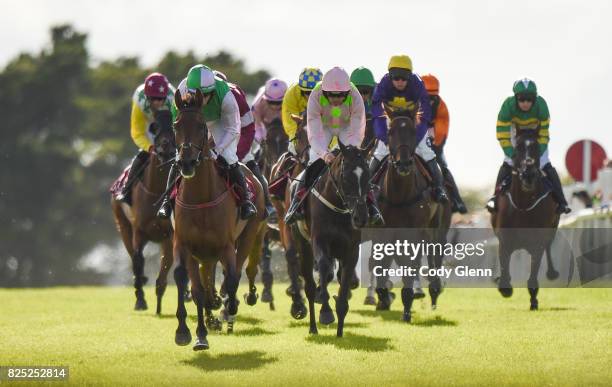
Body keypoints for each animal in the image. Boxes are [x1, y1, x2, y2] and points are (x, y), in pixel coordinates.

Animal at [110, 110, 175, 316]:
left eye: (174, 124)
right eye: (155, 126)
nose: (166, 148)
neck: (157, 190)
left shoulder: (169, 235)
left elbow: (166, 265)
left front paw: (159, 300)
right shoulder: (139, 232)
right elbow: (138, 260)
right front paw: (140, 300)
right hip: (122, 226)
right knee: (133, 257)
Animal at [173, 90, 266, 352]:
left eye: (202, 126)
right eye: (176, 125)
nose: (186, 162)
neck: (201, 198)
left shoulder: (226, 245)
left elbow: (232, 278)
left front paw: (229, 307)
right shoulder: (184, 244)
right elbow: (191, 286)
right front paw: (191, 333)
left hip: (248, 234)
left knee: (238, 269)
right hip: (205, 253)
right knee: (205, 280)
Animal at [294, 142, 370, 336]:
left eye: (367, 176)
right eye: (346, 177)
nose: (361, 217)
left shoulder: (351, 250)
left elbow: (343, 286)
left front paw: (340, 332)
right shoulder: (319, 241)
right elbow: (323, 267)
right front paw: (326, 312)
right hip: (303, 246)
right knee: (310, 286)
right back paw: (313, 326)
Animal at [372, 116, 450, 324]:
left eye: (414, 133)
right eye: (390, 132)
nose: (404, 164)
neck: (399, 194)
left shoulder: (414, 231)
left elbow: (411, 264)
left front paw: (407, 305)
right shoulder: (382, 231)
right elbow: (380, 264)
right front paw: (384, 296)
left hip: (436, 227)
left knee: (433, 255)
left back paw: (432, 290)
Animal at [492, 130, 560, 312]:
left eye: (536, 147)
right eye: (517, 149)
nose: (528, 174)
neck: (523, 206)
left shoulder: (538, 242)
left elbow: (533, 273)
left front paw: (534, 300)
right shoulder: (505, 241)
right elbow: (504, 265)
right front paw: (504, 285)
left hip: (553, 228)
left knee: (549, 246)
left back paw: (552, 273)